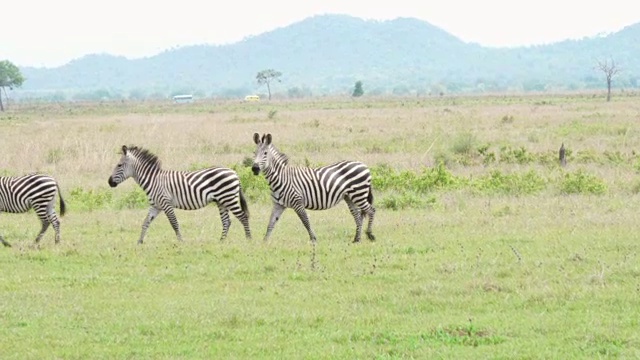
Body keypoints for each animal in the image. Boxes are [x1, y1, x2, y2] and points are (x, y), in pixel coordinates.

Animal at [109, 145, 251, 243]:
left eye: (119, 165)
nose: (109, 182)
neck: (153, 180)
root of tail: (234, 172)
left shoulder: (166, 203)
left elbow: (174, 223)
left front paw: (180, 241)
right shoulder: (155, 206)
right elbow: (145, 223)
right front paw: (139, 242)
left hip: (229, 198)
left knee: (243, 217)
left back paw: (248, 239)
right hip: (221, 201)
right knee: (227, 221)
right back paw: (221, 241)